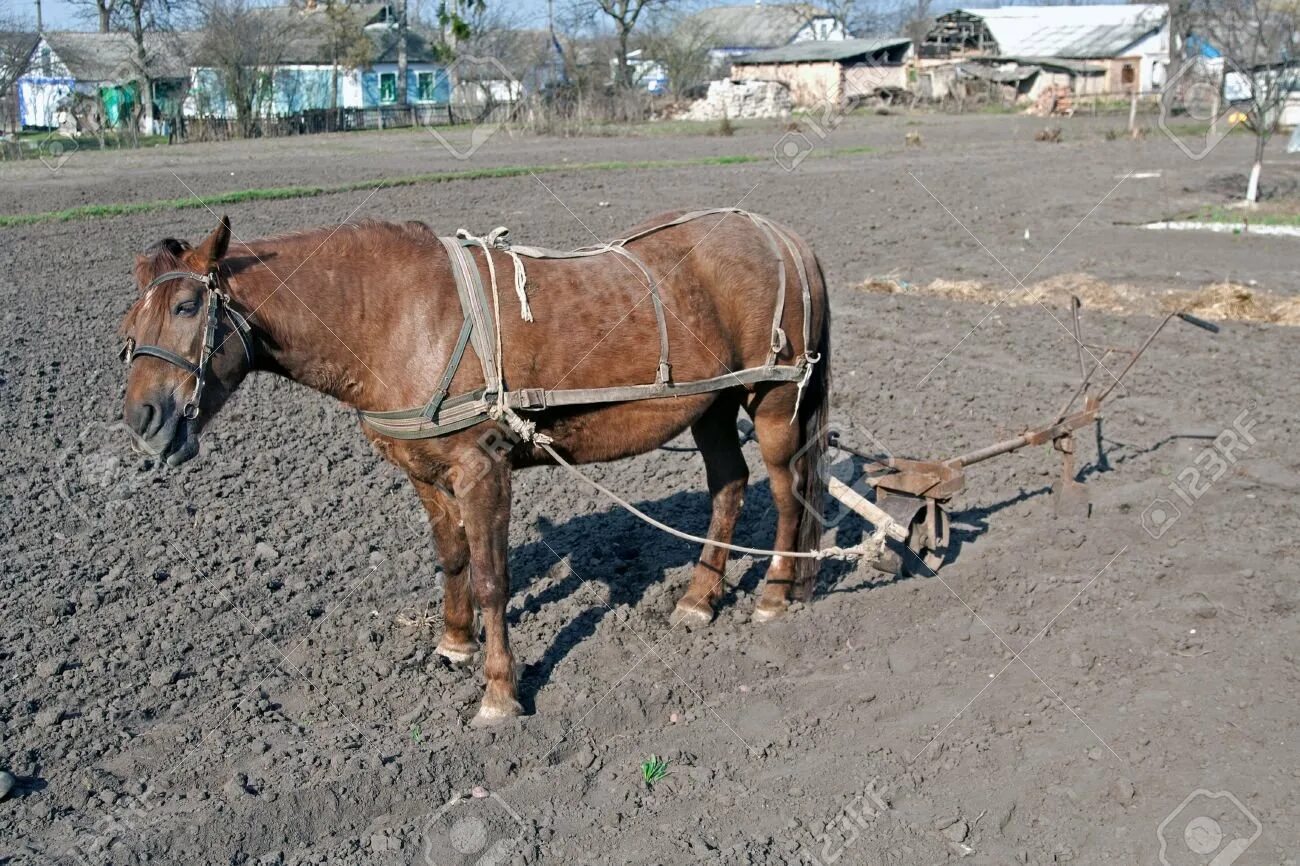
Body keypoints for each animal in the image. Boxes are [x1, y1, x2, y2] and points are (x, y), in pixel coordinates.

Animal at [122, 210, 832, 722]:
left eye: (187, 308)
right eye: (132, 318)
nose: (143, 420)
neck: (397, 316)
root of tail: (780, 233)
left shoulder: (482, 470)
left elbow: (493, 578)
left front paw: (499, 693)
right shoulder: (426, 472)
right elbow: (454, 559)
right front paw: (454, 643)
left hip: (772, 402)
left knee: (787, 492)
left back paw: (774, 594)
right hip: (709, 407)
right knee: (729, 487)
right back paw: (699, 598)